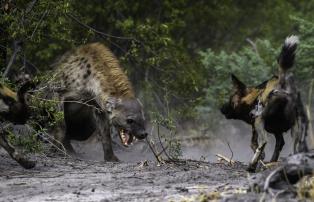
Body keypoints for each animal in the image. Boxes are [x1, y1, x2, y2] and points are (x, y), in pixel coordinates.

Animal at [221, 35, 310, 171]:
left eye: (230, 100)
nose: (221, 108)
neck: (251, 99)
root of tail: (281, 81)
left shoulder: (255, 125)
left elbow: (254, 145)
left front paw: (261, 159)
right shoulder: (278, 133)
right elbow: (278, 146)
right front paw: (271, 162)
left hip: (260, 120)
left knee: (264, 142)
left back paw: (251, 166)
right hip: (298, 126)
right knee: (295, 148)